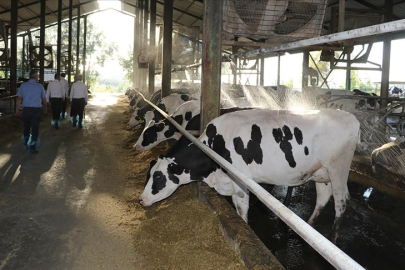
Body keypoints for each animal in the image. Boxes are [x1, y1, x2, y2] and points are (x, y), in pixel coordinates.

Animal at [140, 108, 360, 242]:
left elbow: (242, 207)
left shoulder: (240, 180)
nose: (141, 200)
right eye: (149, 174)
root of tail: (351, 117)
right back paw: (309, 227)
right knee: (323, 198)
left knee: (340, 201)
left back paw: (333, 237)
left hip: (338, 168)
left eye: (158, 177)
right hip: (321, 173)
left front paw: (245, 227)